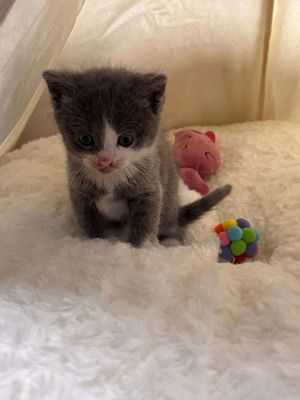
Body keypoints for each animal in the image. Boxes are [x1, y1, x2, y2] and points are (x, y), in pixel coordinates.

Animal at [43, 69, 231, 247]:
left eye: (126, 140)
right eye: (85, 139)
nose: (105, 160)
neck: (110, 179)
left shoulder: (149, 185)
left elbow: (145, 222)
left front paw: (139, 248)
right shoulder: (79, 191)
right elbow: (88, 221)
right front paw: (95, 242)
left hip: (169, 196)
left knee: (171, 222)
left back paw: (171, 241)